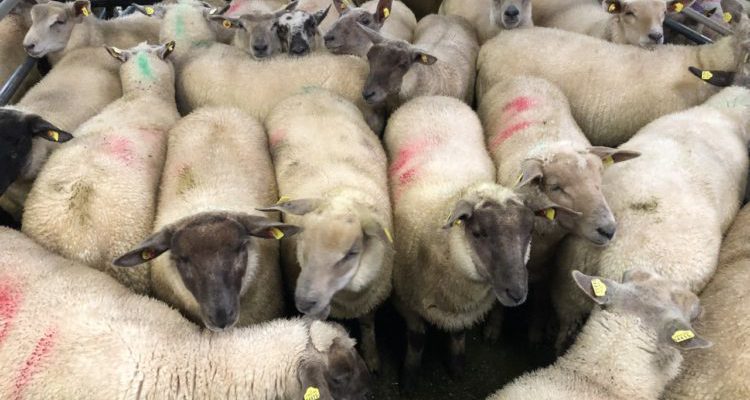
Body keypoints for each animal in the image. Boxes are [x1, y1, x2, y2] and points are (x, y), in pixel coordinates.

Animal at [258, 89, 393, 373]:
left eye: (351, 253)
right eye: (302, 247)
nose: (304, 302)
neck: (339, 193)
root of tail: (311, 92)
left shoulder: (371, 297)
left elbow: (368, 325)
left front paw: (372, 357)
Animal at [384, 95, 567, 388]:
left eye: (529, 231)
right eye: (480, 233)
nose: (517, 293)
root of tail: (433, 98)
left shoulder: (465, 309)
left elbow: (459, 334)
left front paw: (456, 366)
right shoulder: (403, 299)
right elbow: (417, 338)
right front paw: (409, 375)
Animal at [477, 76, 640, 342]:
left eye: (600, 177)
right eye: (556, 187)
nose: (608, 229)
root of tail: (525, 77)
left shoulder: (547, 264)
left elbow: (542, 297)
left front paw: (536, 331)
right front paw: (493, 328)